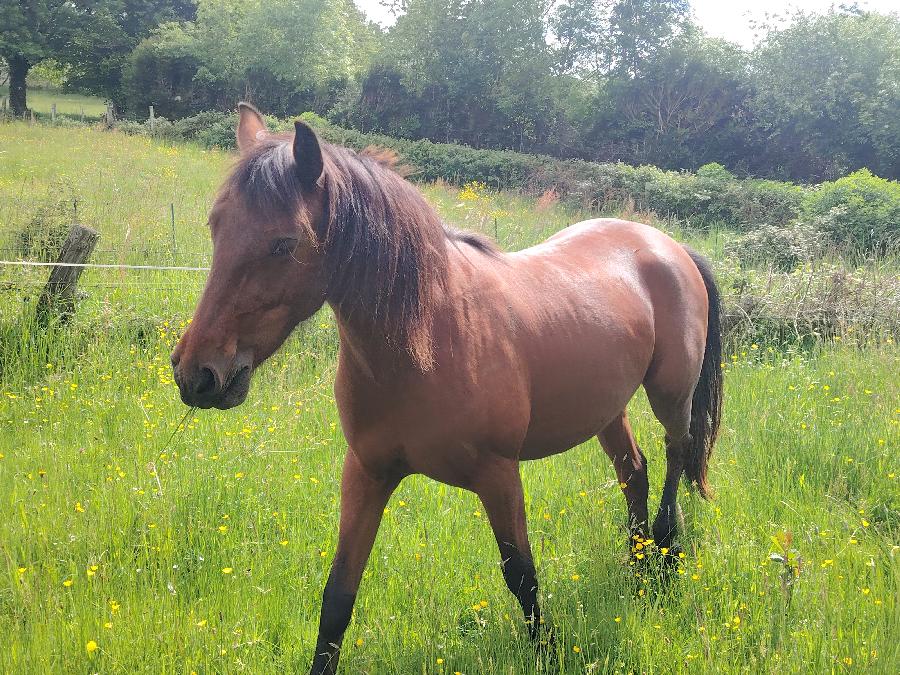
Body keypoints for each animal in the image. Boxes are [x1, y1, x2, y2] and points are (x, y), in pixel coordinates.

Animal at [171, 103, 723, 675]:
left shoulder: (499, 475)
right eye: (216, 226)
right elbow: (338, 594)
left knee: (675, 457)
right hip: (607, 408)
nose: (197, 374)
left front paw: (547, 652)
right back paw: (639, 567)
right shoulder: (366, 473)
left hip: (670, 396)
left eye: (284, 244)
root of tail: (667, 245)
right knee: (633, 473)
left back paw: (665, 559)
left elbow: (522, 577)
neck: (426, 341)